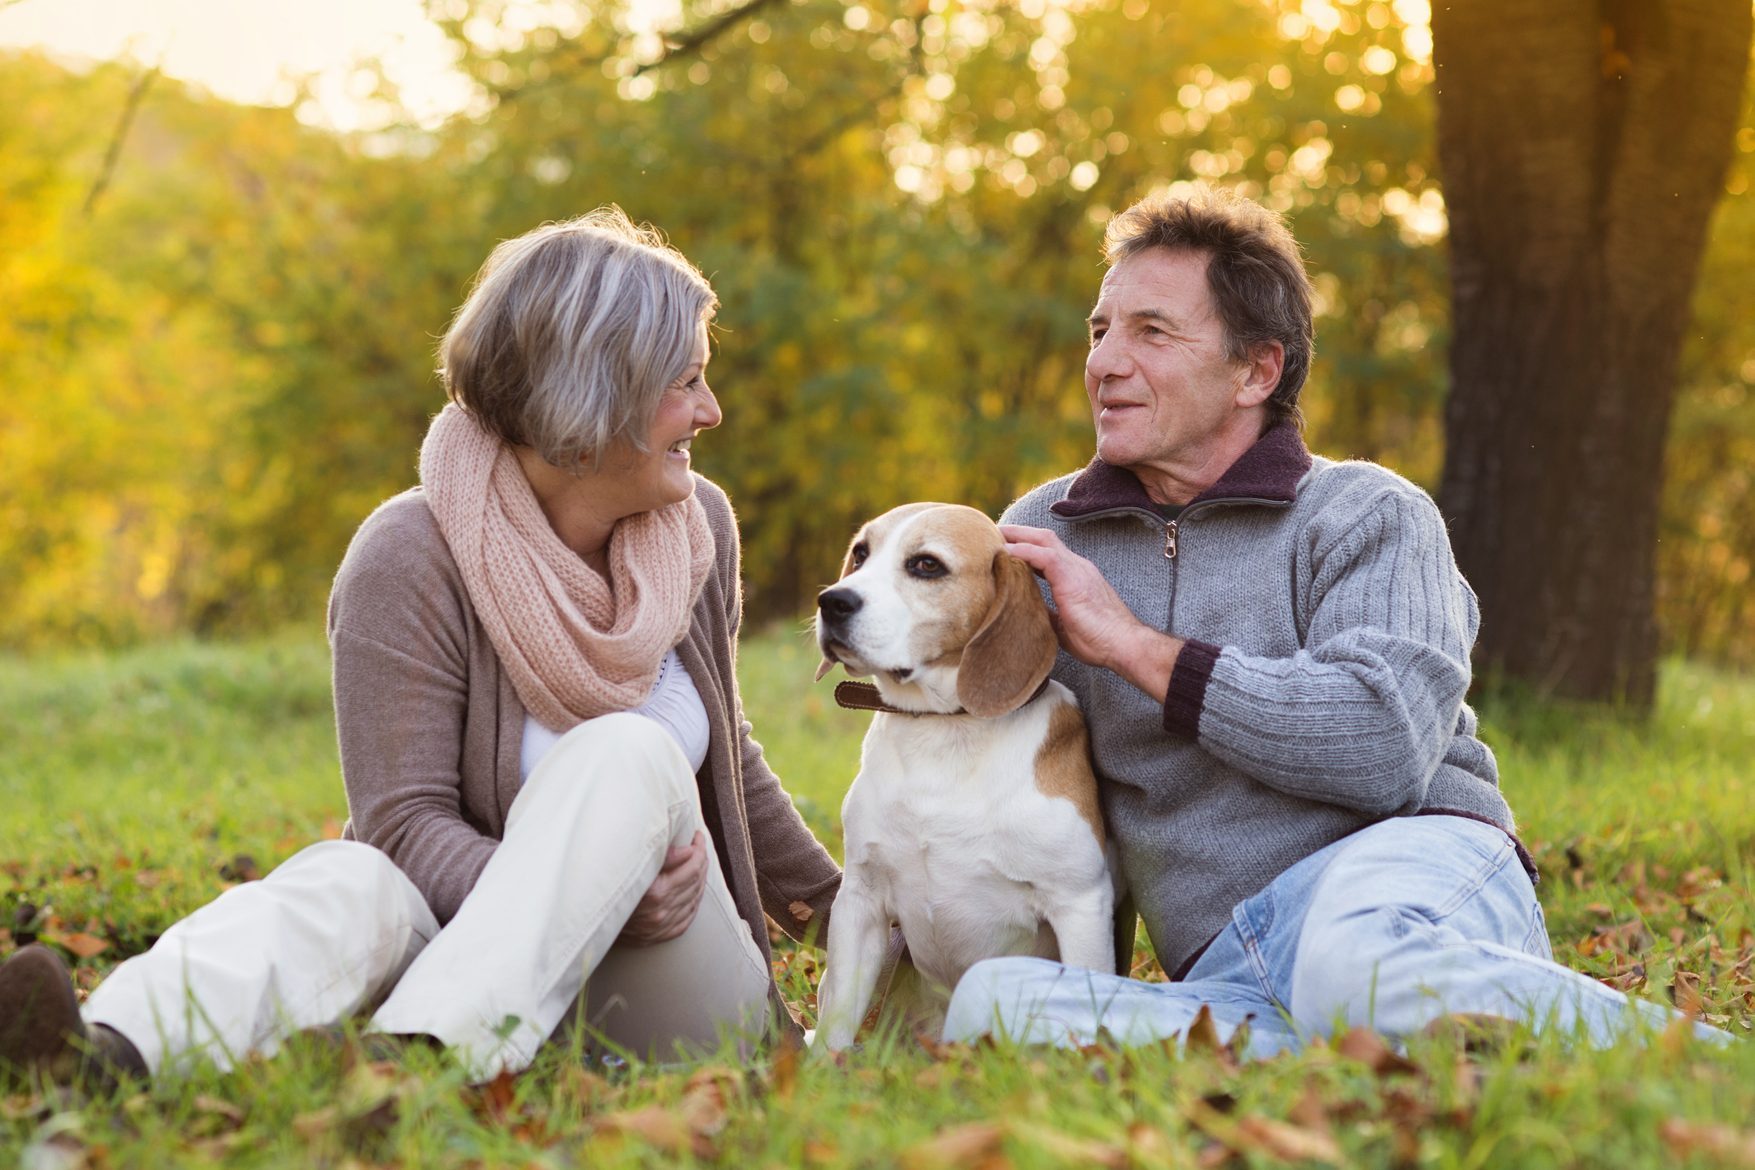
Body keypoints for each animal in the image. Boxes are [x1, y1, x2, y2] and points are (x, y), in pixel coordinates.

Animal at [803, 505, 1109, 1052]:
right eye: (861, 553)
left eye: (927, 565)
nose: (832, 601)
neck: (943, 730)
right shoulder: (861, 900)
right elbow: (837, 1019)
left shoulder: (1080, 904)